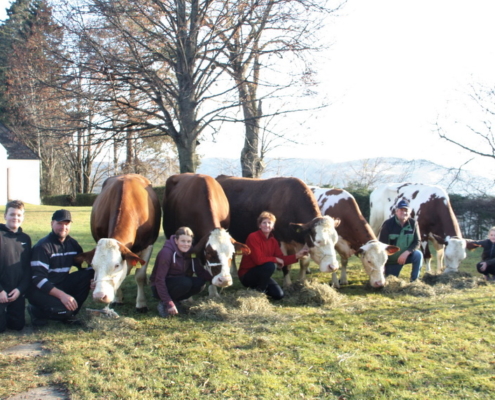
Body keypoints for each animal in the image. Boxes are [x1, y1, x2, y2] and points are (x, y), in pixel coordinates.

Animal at [74, 173, 160, 314]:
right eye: (93, 266)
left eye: (116, 265)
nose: (99, 296)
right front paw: (118, 298)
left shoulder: (148, 245)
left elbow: (140, 276)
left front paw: (141, 303)